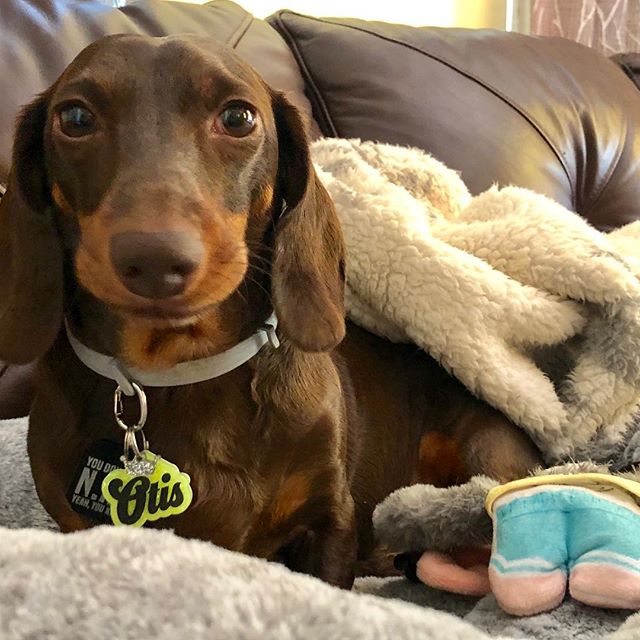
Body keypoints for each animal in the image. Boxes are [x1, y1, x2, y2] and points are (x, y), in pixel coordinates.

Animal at [0, 33, 540, 584]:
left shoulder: (329, 523)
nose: (154, 260)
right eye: (75, 118)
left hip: (483, 453)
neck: (176, 371)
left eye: (239, 117)